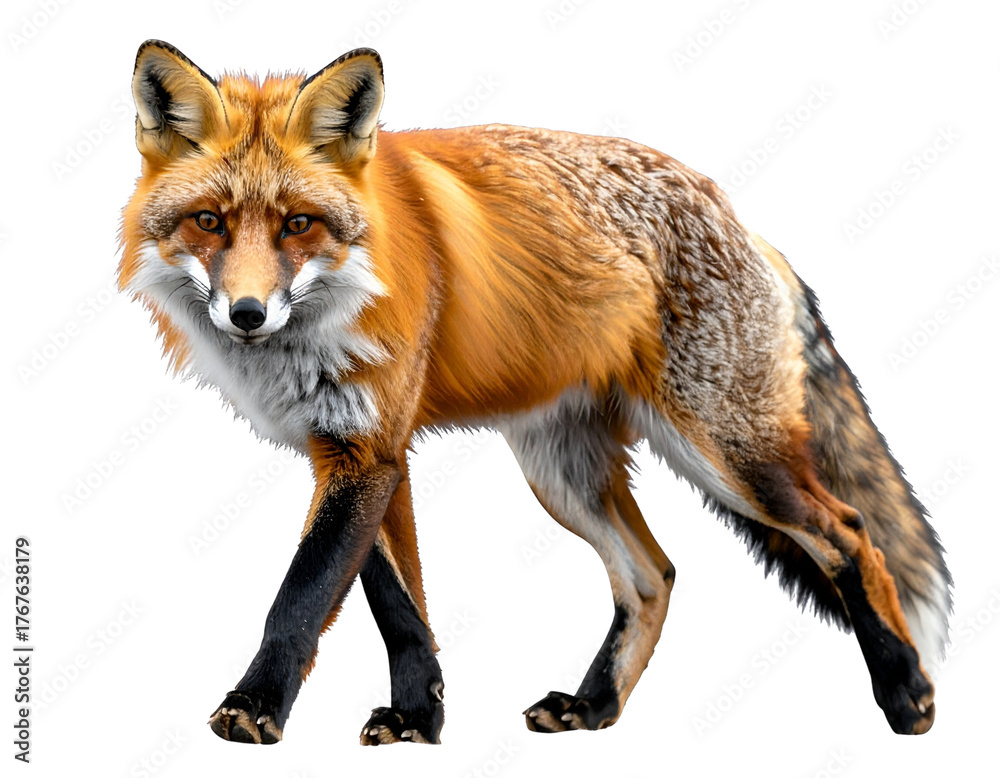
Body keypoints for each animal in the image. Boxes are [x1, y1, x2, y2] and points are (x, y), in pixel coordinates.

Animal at [119, 40, 952, 745]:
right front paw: (420, 717)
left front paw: (254, 707)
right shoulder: (357, 449)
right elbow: (397, 604)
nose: (247, 314)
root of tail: (744, 223)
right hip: (564, 475)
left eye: (297, 224)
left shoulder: (368, 451)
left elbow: (301, 595)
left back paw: (906, 693)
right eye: (208, 222)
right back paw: (594, 706)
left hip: (729, 457)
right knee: (653, 576)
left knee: (850, 534)